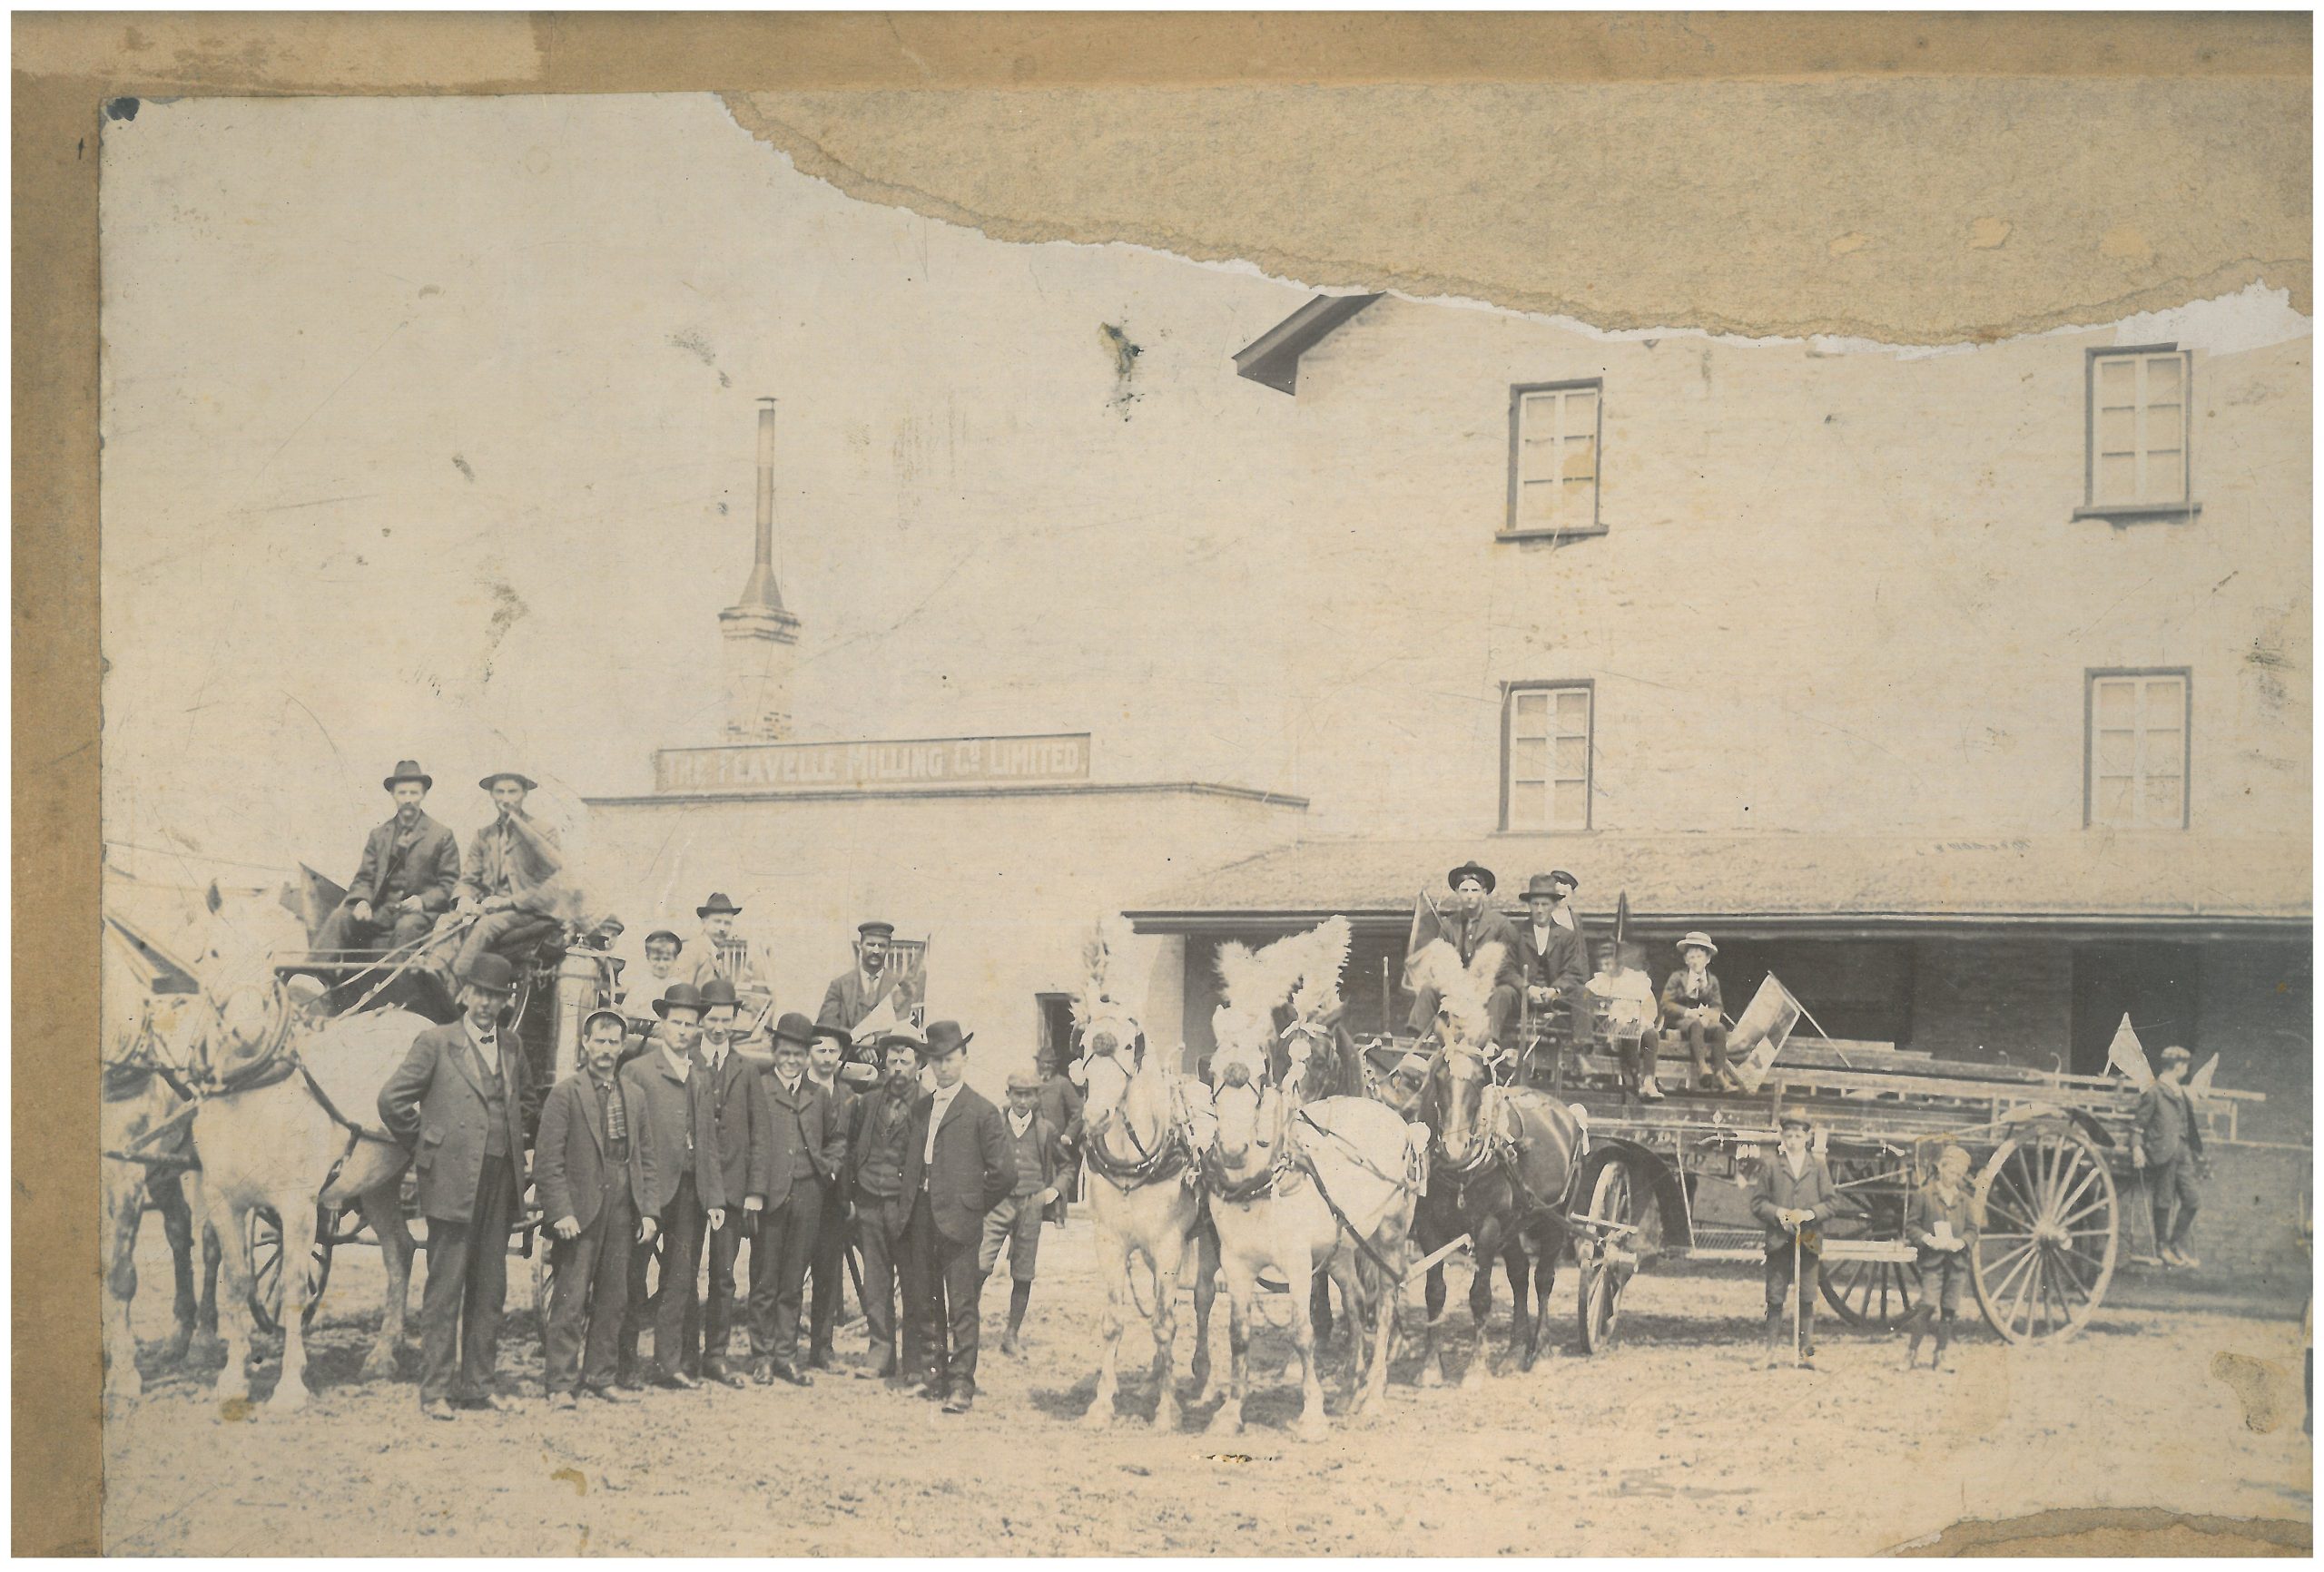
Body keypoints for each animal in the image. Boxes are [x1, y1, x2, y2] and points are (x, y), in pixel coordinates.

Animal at [1403, 1040, 1590, 1383]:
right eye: (1438, 1079)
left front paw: (1476, 1367)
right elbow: (1435, 1292)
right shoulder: (1428, 1228)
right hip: (1515, 1224)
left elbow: (1480, 1296)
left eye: (1480, 1081)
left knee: (1543, 1279)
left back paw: (1541, 1352)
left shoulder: (1488, 1229)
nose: (1455, 1149)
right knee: (1519, 1276)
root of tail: (1566, 1114)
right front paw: (1430, 1366)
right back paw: (1514, 1352)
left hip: (1554, 1220)